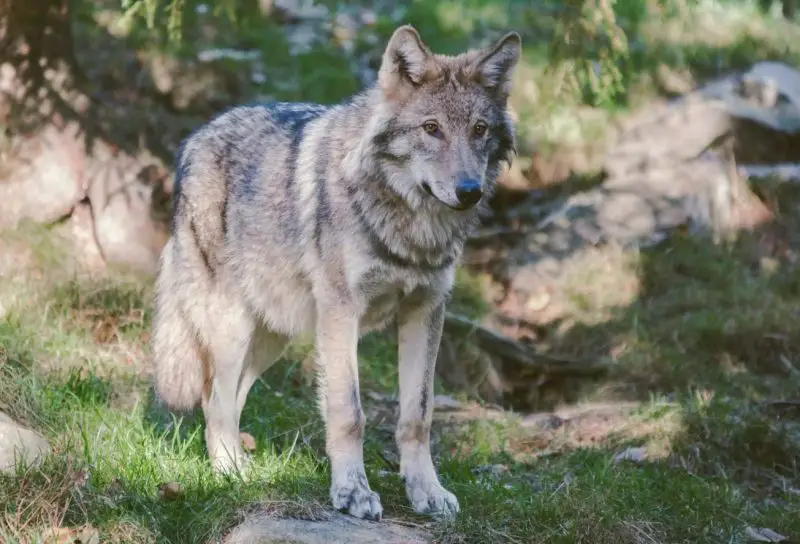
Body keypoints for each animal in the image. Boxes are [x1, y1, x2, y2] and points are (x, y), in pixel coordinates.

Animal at [150, 24, 521, 521]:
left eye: (479, 130)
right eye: (431, 129)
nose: (469, 191)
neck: (411, 229)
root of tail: (194, 139)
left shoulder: (426, 310)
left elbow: (417, 415)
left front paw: (426, 491)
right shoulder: (343, 312)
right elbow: (349, 413)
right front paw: (352, 493)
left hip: (273, 337)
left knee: (234, 397)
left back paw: (244, 467)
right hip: (231, 328)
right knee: (214, 400)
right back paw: (230, 474)